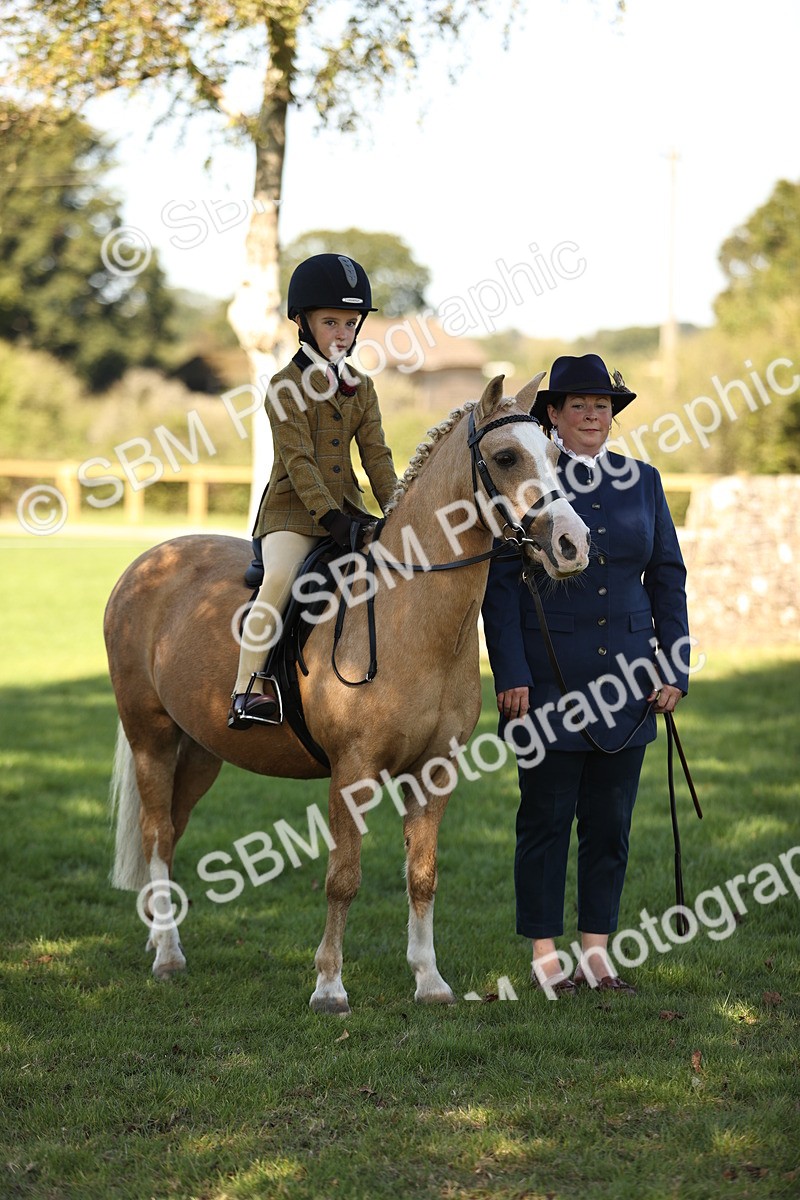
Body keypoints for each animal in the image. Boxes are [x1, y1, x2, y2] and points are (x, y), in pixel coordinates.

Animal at [105, 373, 590, 1013]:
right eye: (507, 457)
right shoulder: (352, 772)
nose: (573, 544)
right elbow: (343, 878)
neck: (409, 612)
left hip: (201, 749)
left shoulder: (435, 770)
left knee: (171, 831)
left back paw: (157, 935)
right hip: (152, 739)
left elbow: (422, 874)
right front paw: (329, 987)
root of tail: (146, 563)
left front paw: (429, 981)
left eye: (557, 459)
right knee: (158, 836)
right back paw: (167, 956)